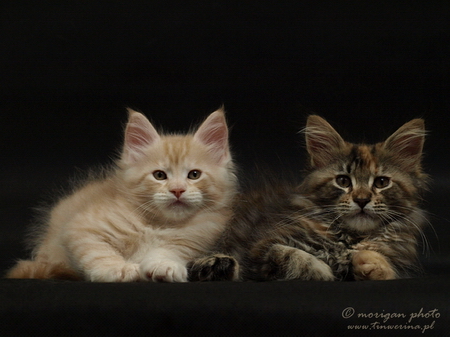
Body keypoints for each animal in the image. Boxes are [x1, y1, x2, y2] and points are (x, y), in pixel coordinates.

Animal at [7, 107, 237, 280]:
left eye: (194, 175)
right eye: (159, 175)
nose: (177, 190)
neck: (158, 224)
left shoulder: (196, 239)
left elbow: (167, 251)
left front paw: (165, 265)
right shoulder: (80, 228)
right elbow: (98, 252)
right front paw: (120, 268)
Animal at [188, 115, 428, 280]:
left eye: (381, 182)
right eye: (343, 181)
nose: (361, 200)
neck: (350, 238)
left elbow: (386, 268)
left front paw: (369, 261)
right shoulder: (263, 245)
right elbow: (293, 255)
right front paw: (323, 271)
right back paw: (214, 266)